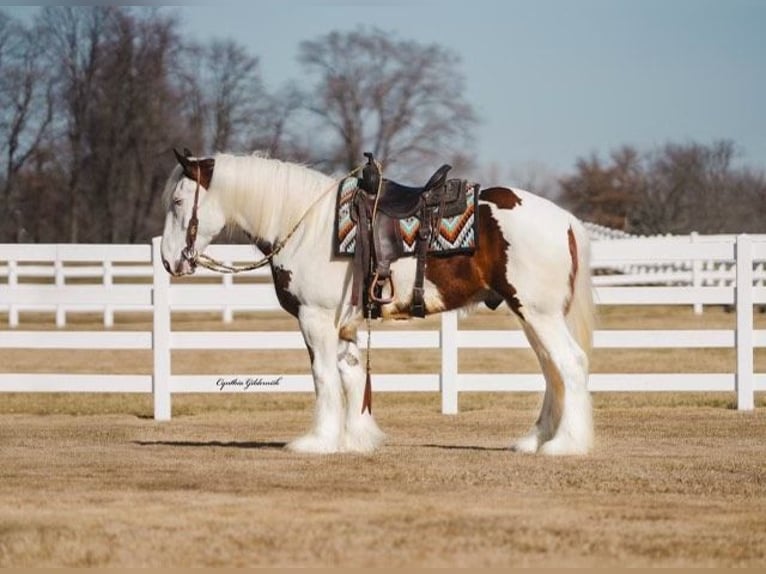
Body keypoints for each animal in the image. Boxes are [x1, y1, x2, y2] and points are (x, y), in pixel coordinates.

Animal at [159, 151, 596, 456]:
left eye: (177, 202)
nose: (168, 260)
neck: (308, 226)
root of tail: (566, 221)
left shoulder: (315, 320)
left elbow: (323, 377)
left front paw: (318, 441)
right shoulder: (345, 326)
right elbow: (352, 377)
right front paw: (356, 439)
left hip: (538, 314)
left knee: (569, 364)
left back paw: (564, 444)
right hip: (533, 316)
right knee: (552, 370)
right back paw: (537, 439)